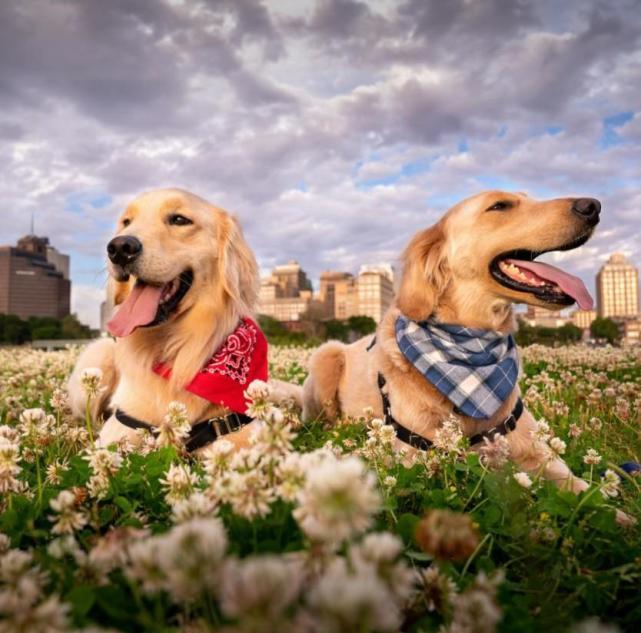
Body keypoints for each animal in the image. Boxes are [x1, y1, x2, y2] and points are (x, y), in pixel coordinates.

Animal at [304, 191, 632, 524]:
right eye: (499, 206)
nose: (593, 206)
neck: (470, 351)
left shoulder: (537, 453)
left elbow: (584, 492)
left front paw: (621, 519)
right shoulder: (415, 457)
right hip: (326, 356)